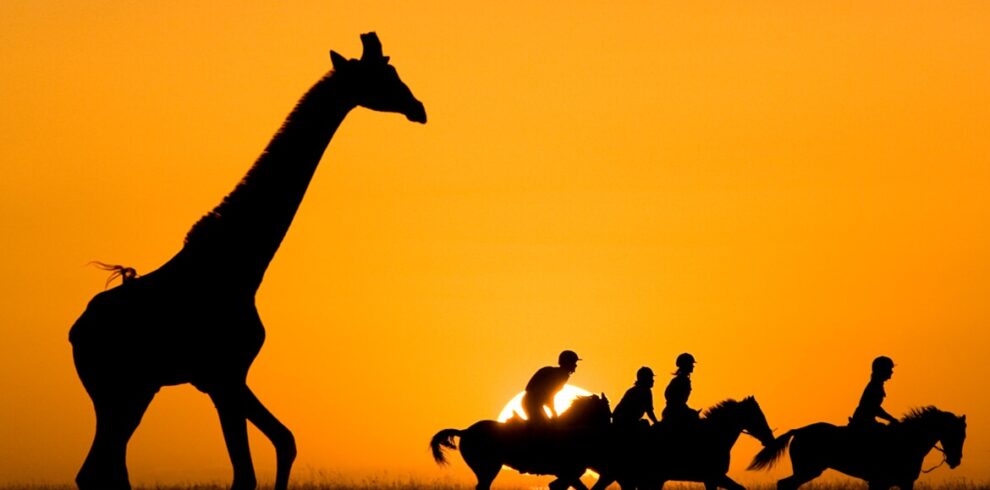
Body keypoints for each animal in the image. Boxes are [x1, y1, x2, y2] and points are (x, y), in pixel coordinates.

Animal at [69, 33, 426, 490]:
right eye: (385, 74)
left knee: (103, 468)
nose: (418, 108)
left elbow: (285, 441)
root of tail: (77, 332)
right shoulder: (223, 376)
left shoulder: (228, 378)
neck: (240, 264)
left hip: (135, 391)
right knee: (99, 469)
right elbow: (246, 474)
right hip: (120, 389)